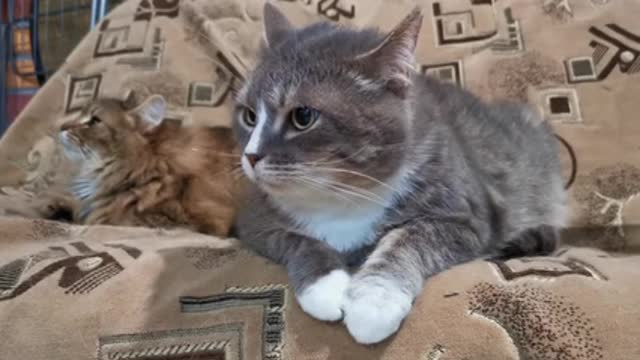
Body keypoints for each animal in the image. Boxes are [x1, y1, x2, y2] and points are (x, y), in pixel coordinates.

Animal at [231, 4, 564, 344]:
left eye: (303, 116)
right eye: (249, 115)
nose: (251, 156)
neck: (342, 194)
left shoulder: (465, 218)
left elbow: (407, 240)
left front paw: (374, 302)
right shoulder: (254, 220)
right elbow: (297, 240)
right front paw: (325, 287)